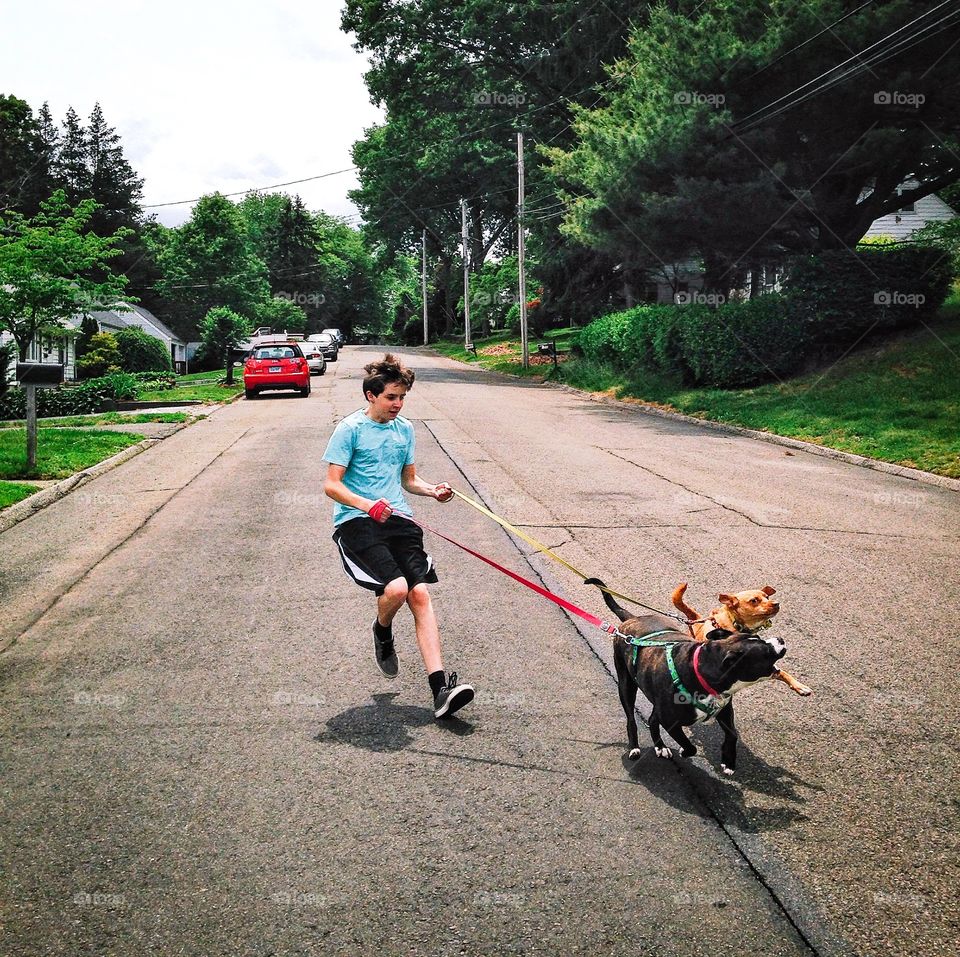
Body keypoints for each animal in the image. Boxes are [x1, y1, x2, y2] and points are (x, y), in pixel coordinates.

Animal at [676, 584, 808, 696]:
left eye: (767, 597)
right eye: (754, 600)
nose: (776, 603)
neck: (734, 624)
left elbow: (782, 672)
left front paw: (799, 685)